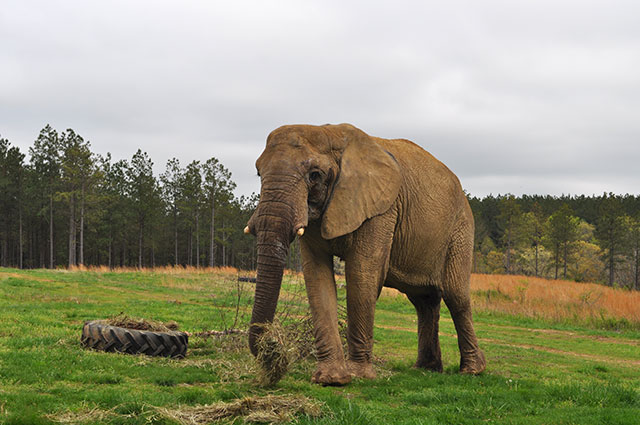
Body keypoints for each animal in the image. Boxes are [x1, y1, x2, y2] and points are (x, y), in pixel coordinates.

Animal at [245, 122, 484, 384]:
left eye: (315, 175)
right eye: (258, 173)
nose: (272, 345)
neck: (330, 133)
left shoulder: (381, 209)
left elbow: (361, 274)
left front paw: (359, 375)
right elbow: (317, 278)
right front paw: (331, 379)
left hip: (461, 228)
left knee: (455, 295)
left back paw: (472, 371)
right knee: (423, 300)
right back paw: (425, 369)